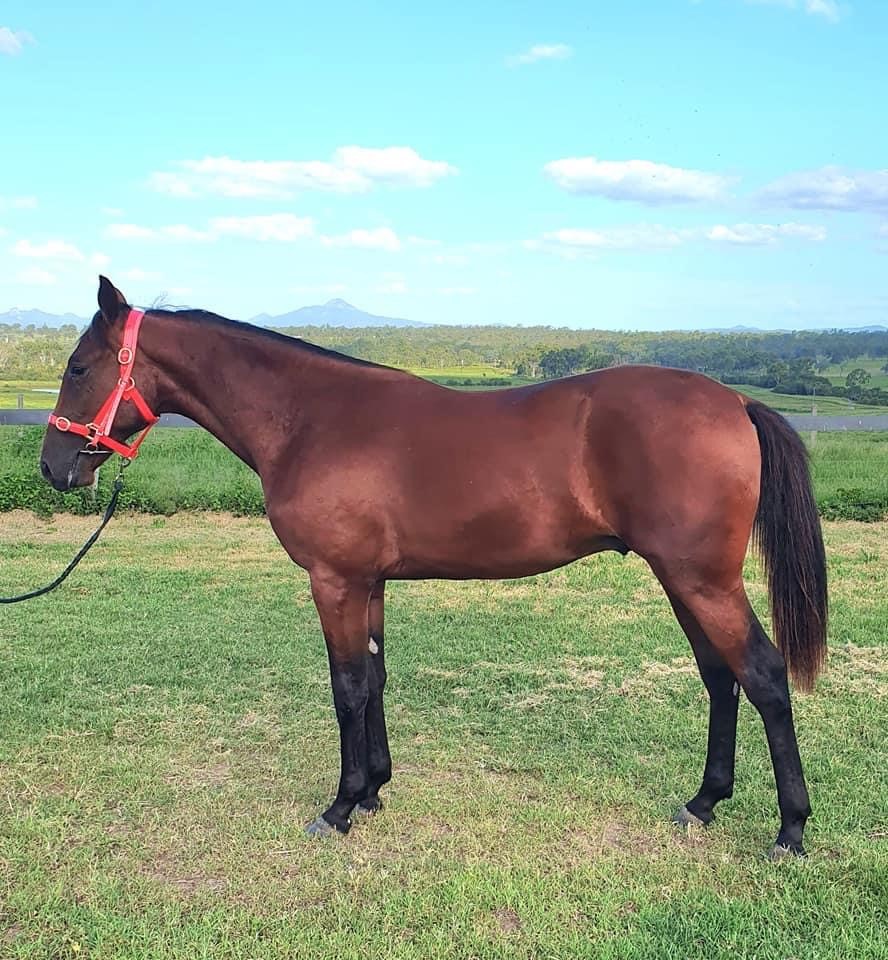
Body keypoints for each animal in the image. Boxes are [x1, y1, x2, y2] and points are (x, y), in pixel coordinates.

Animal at [39, 277, 827, 857]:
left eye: (77, 367)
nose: (53, 467)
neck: (310, 417)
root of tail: (734, 400)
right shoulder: (370, 583)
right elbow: (376, 677)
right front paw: (375, 790)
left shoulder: (334, 580)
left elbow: (347, 687)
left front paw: (340, 806)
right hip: (681, 580)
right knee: (721, 677)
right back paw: (704, 803)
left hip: (702, 580)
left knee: (762, 675)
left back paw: (789, 830)